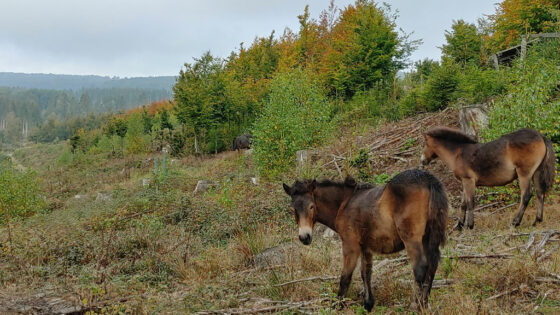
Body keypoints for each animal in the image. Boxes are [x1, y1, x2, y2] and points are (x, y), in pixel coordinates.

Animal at [282, 170, 448, 312]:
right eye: (293, 209)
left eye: (311, 206)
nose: (304, 237)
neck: (344, 203)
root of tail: (428, 180)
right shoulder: (365, 247)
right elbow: (365, 272)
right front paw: (368, 304)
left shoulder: (350, 245)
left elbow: (345, 277)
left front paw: (338, 305)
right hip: (428, 239)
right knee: (432, 267)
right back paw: (424, 304)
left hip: (412, 239)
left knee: (420, 268)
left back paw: (414, 306)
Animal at [420, 128, 556, 230]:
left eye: (425, 143)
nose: (422, 161)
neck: (458, 153)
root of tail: (540, 136)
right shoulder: (464, 182)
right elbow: (463, 204)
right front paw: (459, 226)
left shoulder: (469, 180)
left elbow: (470, 202)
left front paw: (469, 225)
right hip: (537, 173)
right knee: (540, 194)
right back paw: (537, 221)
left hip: (524, 174)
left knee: (526, 196)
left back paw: (515, 222)